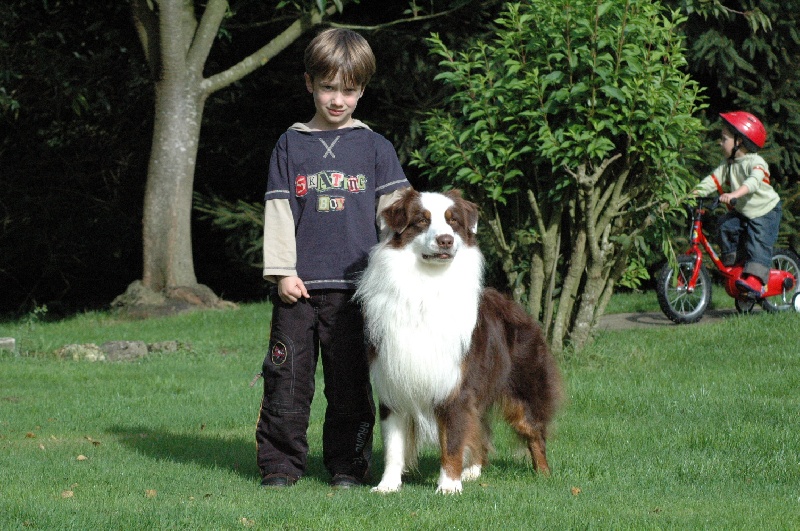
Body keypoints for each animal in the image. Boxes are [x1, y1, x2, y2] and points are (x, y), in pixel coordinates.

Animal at [356, 190, 564, 494]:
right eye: (422, 220)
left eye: (452, 221)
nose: (446, 240)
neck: (427, 286)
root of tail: (517, 307)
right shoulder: (392, 385)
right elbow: (394, 445)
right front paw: (388, 486)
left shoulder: (456, 387)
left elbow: (452, 441)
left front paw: (448, 487)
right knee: (480, 428)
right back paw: (474, 471)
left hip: (524, 389)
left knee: (534, 432)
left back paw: (545, 476)